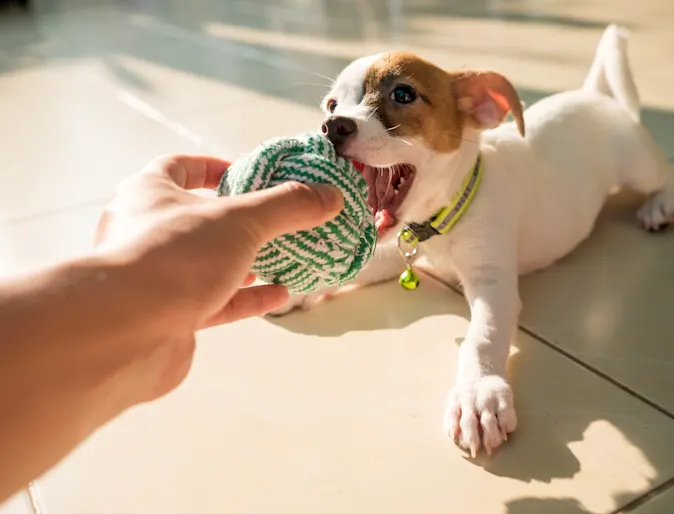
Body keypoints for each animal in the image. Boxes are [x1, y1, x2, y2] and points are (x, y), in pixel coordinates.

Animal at [270, 25, 672, 456]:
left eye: (403, 94)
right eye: (331, 105)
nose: (332, 127)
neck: (445, 217)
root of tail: (595, 96)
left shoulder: (493, 285)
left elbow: (481, 338)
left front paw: (478, 395)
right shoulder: (395, 253)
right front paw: (293, 289)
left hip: (638, 167)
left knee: (665, 174)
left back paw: (658, 205)